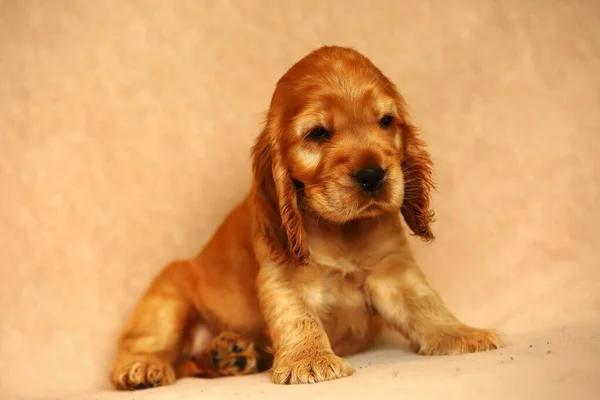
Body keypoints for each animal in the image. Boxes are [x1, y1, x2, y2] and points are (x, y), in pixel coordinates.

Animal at [110, 45, 504, 390]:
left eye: (386, 121)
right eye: (317, 133)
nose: (373, 175)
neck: (342, 229)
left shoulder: (392, 271)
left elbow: (426, 303)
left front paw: (462, 334)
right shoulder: (282, 275)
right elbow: (298, 317)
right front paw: (309, 360)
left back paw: (229, 355)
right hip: (167, 299)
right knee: (144, 350)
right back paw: (142, 368)